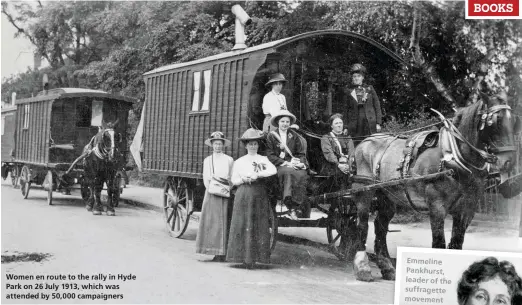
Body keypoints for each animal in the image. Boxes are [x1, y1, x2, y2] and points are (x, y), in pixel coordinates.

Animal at [350, 94, 516, 282]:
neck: (454, 159)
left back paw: (387, 267)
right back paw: (362, 266)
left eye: (514, 121)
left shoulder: (467, 209)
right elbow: (439, 243)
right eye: (495, 121)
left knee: (380, 226)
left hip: (388, 196)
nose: (509, 162)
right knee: (363, 224)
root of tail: (364, 142)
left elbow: (457, 242)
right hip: (363, 191)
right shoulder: (437, 206)